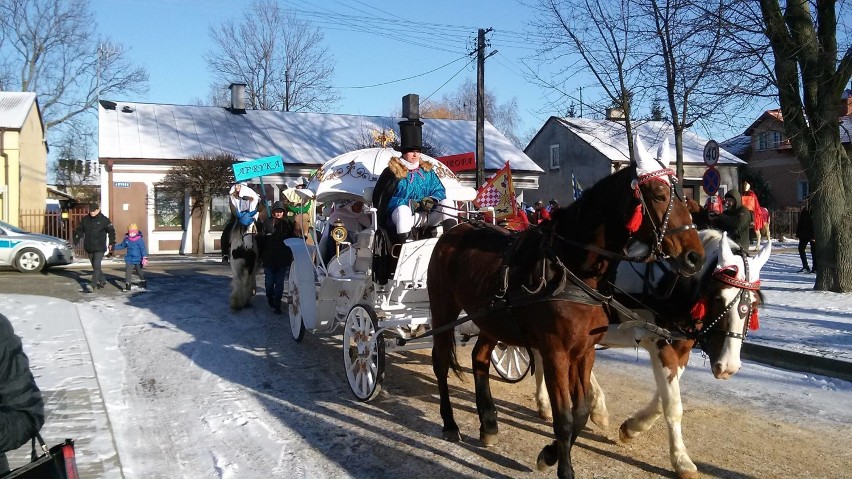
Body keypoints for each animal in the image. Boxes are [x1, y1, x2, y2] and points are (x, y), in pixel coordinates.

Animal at [430, 137, 704, 478]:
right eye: (658, 194)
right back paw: (450, 423)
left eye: (685, 197)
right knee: (441, 362)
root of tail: (453, 231)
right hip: (442, 310)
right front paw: (563, 467)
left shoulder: (584, 351)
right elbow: (563, 417)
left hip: (492, 320)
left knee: (480, 358)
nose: (695, 257)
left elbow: (581, 411)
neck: (570, 269)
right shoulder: (555, 353)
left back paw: (489, 423)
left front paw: (549, 454)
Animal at [532, 231, 772, 478]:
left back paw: (591, 407)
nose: (728, 367)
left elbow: (663, 399)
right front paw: (681, 460)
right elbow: (673, 406)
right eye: (718, 298)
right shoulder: (661, 345)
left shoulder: (681, 350)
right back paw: (553, 403)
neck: (673, 286)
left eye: (753, 305)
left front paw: (632, 427)